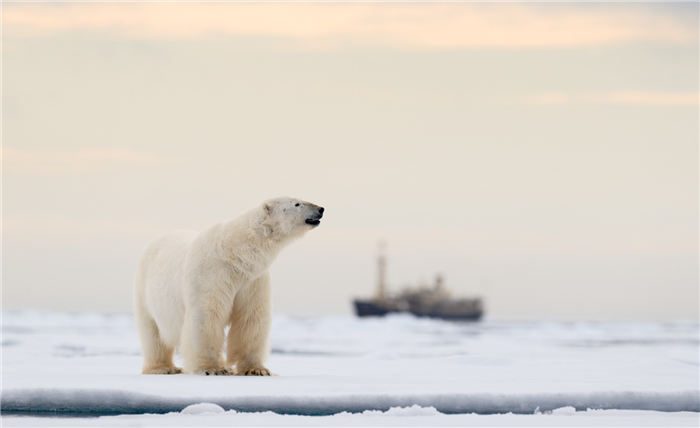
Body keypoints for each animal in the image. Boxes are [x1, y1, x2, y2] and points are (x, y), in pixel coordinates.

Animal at [133, 197, 324, 374]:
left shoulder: (253, 279)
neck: (235, 252)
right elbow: (207, 314)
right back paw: (163, 367)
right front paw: (211, 369)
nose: (321, 209)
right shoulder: (212, 274)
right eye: (297, 203)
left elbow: (251, 317)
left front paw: (256, 370)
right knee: (153, 333)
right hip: (145, 290)